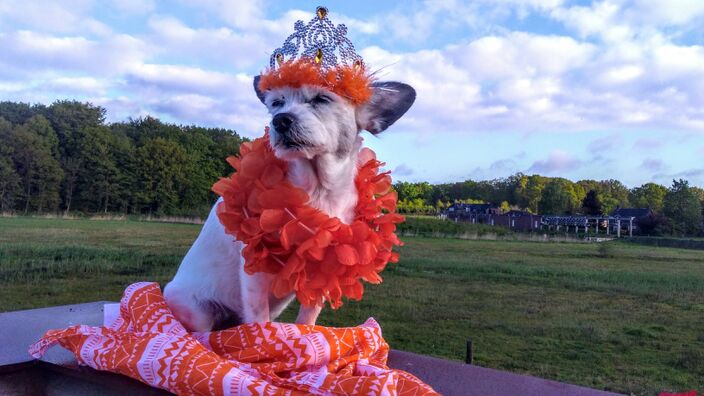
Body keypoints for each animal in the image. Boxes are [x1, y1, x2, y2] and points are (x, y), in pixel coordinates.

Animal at [162, 76, 416, 332]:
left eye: (322, 99)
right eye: (276, 104)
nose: (280, 120)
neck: (318, 192)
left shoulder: (323, 274)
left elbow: (308, 319)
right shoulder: (255, 273)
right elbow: (260, 321)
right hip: (198, 312)